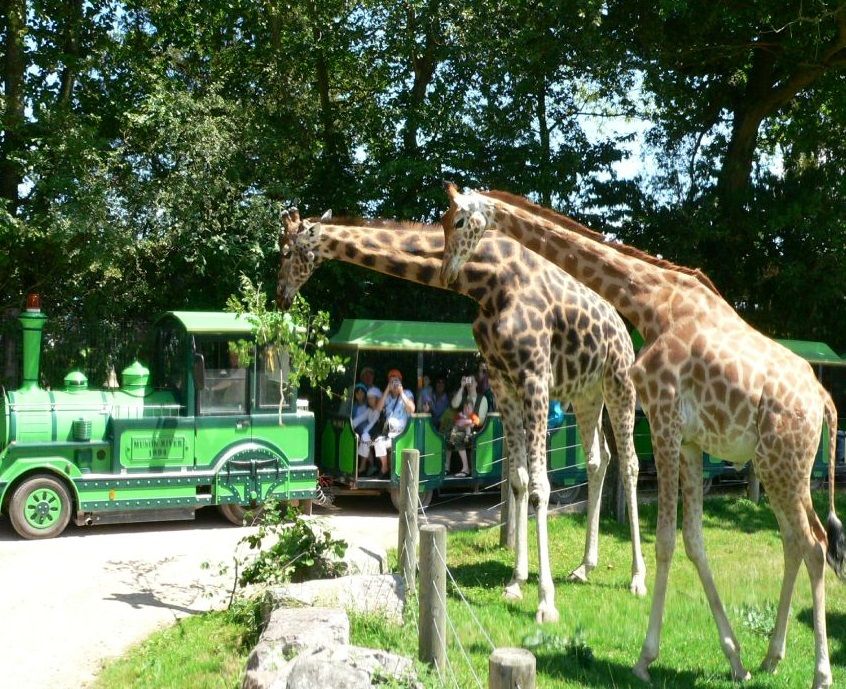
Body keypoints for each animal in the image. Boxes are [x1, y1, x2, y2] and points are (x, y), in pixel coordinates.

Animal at [278, 207, 648, 620]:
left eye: (288, 252)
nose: (280, 296)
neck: (488, 282)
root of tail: (621, 326)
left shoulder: (534, 376)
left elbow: (541, 485)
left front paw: (545, 602)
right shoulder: (504, 381)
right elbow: (518, 480)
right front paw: (516, 583)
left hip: (618, 381)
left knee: (630, 463)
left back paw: (638, 579)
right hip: (586, 393)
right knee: (599, 460)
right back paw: (585, 566)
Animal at [440, 183, 844, 688]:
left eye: (458, 220)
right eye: (442, 220)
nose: (446, 270)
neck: (653, 303)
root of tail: (823, 400)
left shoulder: (665, 419)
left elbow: (667, 540)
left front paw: (644, 658)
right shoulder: (689, 440)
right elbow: (693, 541)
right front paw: (735, 659)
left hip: (782, 465)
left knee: (815, 545)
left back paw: (821, 672)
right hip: (781, 468)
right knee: (795, 542)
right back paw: (772, 657)